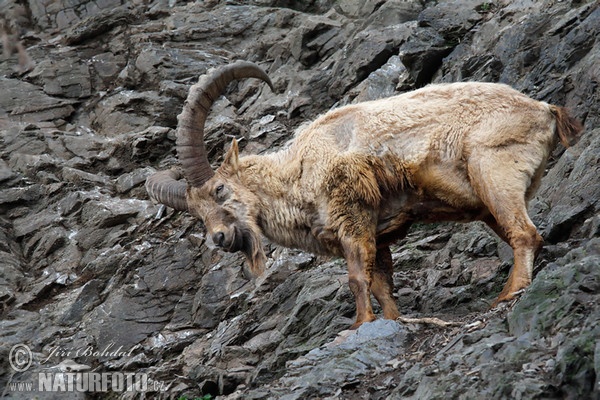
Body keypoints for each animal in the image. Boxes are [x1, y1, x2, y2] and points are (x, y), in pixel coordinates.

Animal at [145, 60, 580, 328]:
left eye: (220, 189)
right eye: (196, 212)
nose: (219, 238)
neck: (299, 171)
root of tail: (544, 110)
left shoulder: (352, 216)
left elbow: (357, 278)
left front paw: (359, 324)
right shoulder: (379, 232)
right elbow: (381, 281)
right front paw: (390, 319)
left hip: (493, 173)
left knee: (525, 234)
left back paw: (509, 294)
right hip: (489, 199)